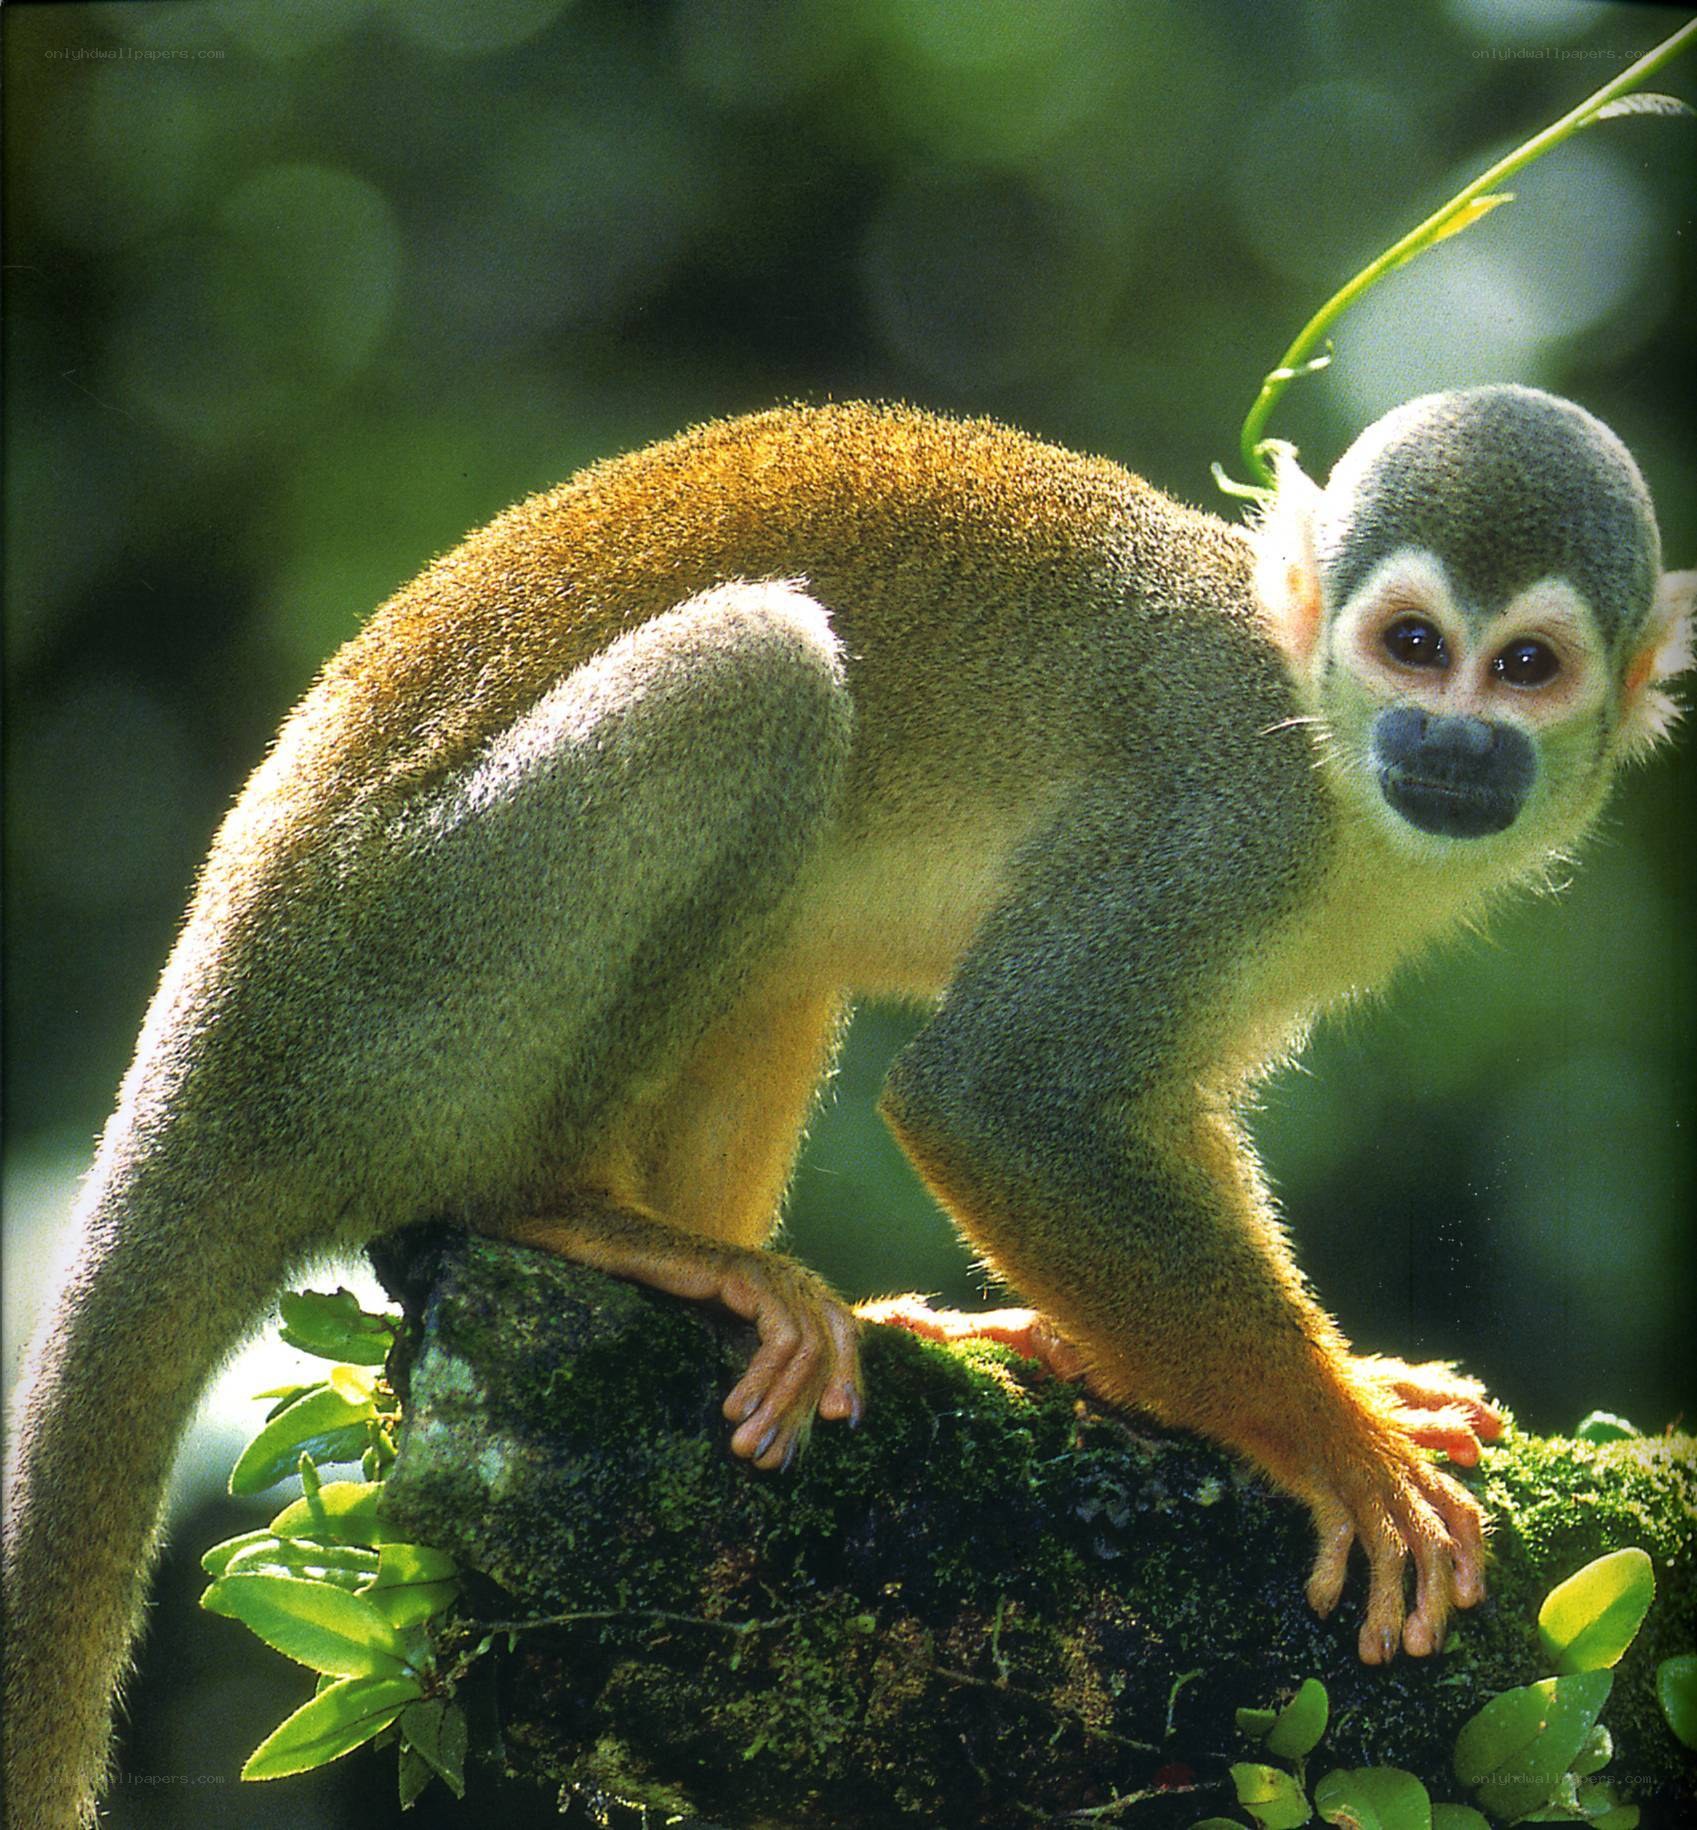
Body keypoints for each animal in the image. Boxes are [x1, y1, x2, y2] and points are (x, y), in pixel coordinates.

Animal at [4, 384, 1691, 1828]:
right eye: (1412, 642)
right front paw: (1335, 1435)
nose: (1450, 742)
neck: (1330, 766)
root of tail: (211, 1019)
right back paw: (580, 1210)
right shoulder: (1220, 827)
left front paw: (1297, 1378)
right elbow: (997, 1097)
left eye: (1524, 667)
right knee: (763, 676)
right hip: (402, 977)